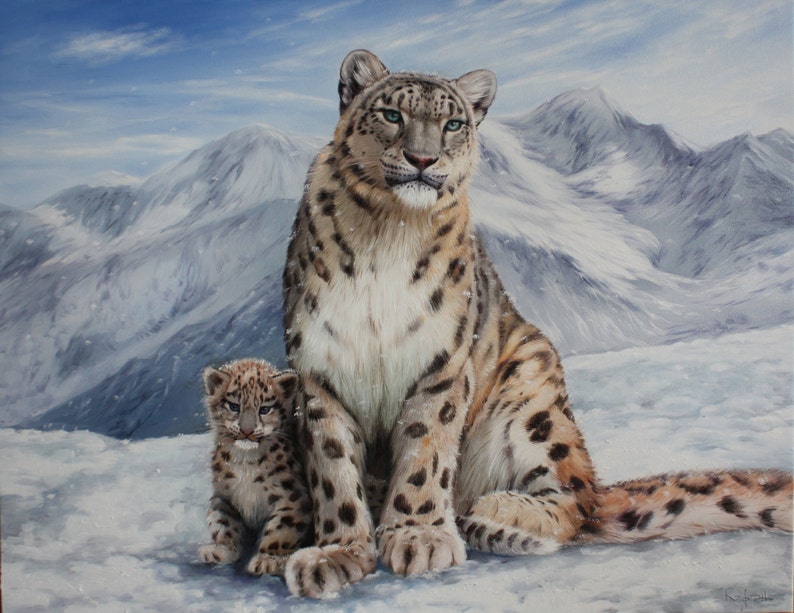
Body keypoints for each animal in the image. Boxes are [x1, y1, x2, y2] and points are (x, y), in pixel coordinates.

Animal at [198, 358, 312, 577]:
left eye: (265, 409)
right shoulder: (224, 494)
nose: (247, 431)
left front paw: (268, 559)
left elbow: (282, 527)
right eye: (234, 406)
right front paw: (221, 549)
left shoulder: (292, 497)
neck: (245, 460)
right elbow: (223, 522)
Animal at [280, 49, 793, 598]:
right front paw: (337, 552)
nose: (423, 160)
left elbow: (424, 454)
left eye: (453, 123)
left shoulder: (442, 365)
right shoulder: (319, 370)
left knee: (580, 503)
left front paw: (418, 536)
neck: (386, 232)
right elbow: (333, 468)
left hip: (533, 389)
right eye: (392, 114)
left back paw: (498, 515)